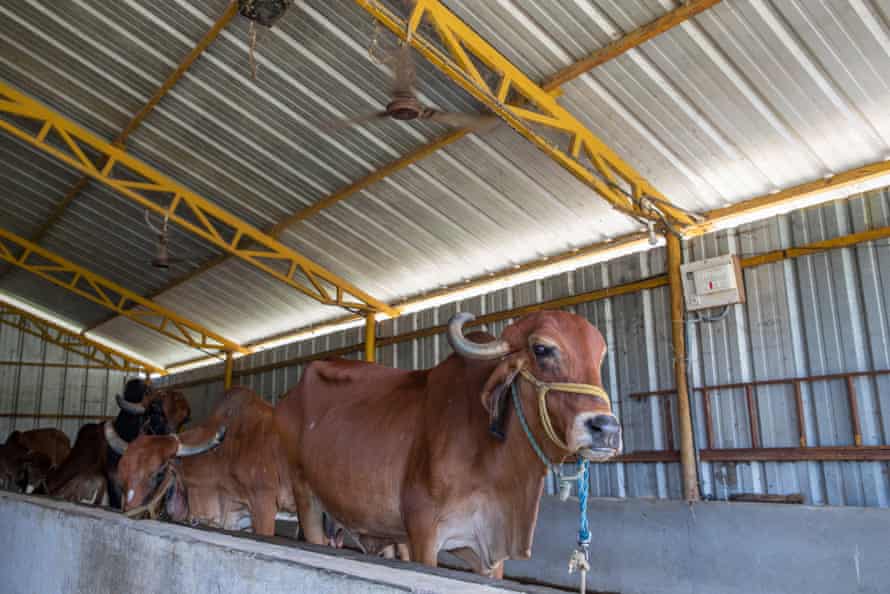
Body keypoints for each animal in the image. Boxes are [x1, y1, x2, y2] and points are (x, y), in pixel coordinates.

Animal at [278, 310, 616, 572]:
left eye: (599, 357)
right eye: (542, 348)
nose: (606, 428)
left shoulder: (489, 553)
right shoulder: (422, 533)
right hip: (305, 497)